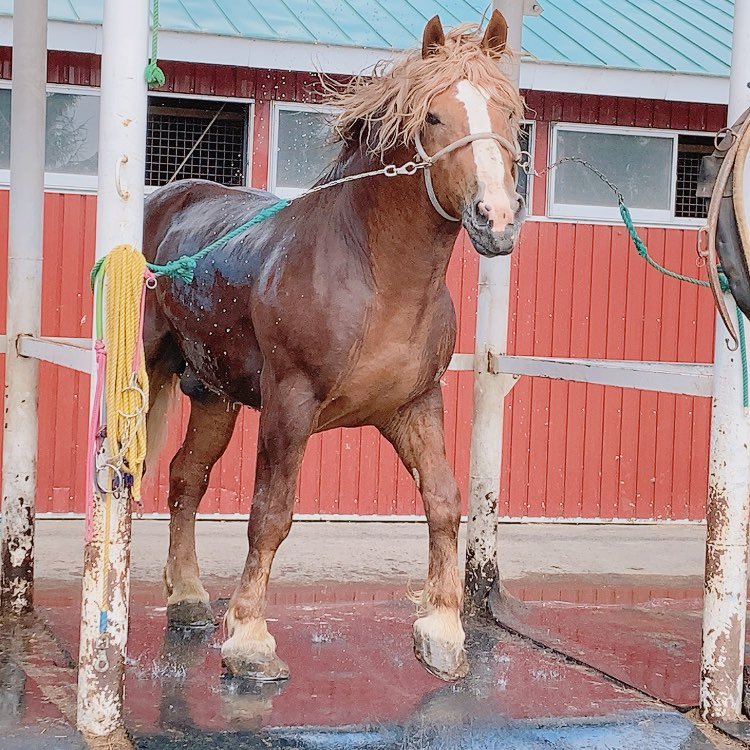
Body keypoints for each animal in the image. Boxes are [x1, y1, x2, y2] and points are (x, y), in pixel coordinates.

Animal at [142, 11, 526, 683]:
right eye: (433, 117)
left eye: (508, 112)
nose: (496, 219)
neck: (376, 280)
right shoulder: (289, 406)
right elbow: (270, 515)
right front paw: (250, 640)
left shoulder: (414, 407)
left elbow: (444, 502)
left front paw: (441, 630)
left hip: (213, 394)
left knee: (186, 478)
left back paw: (187, 597)